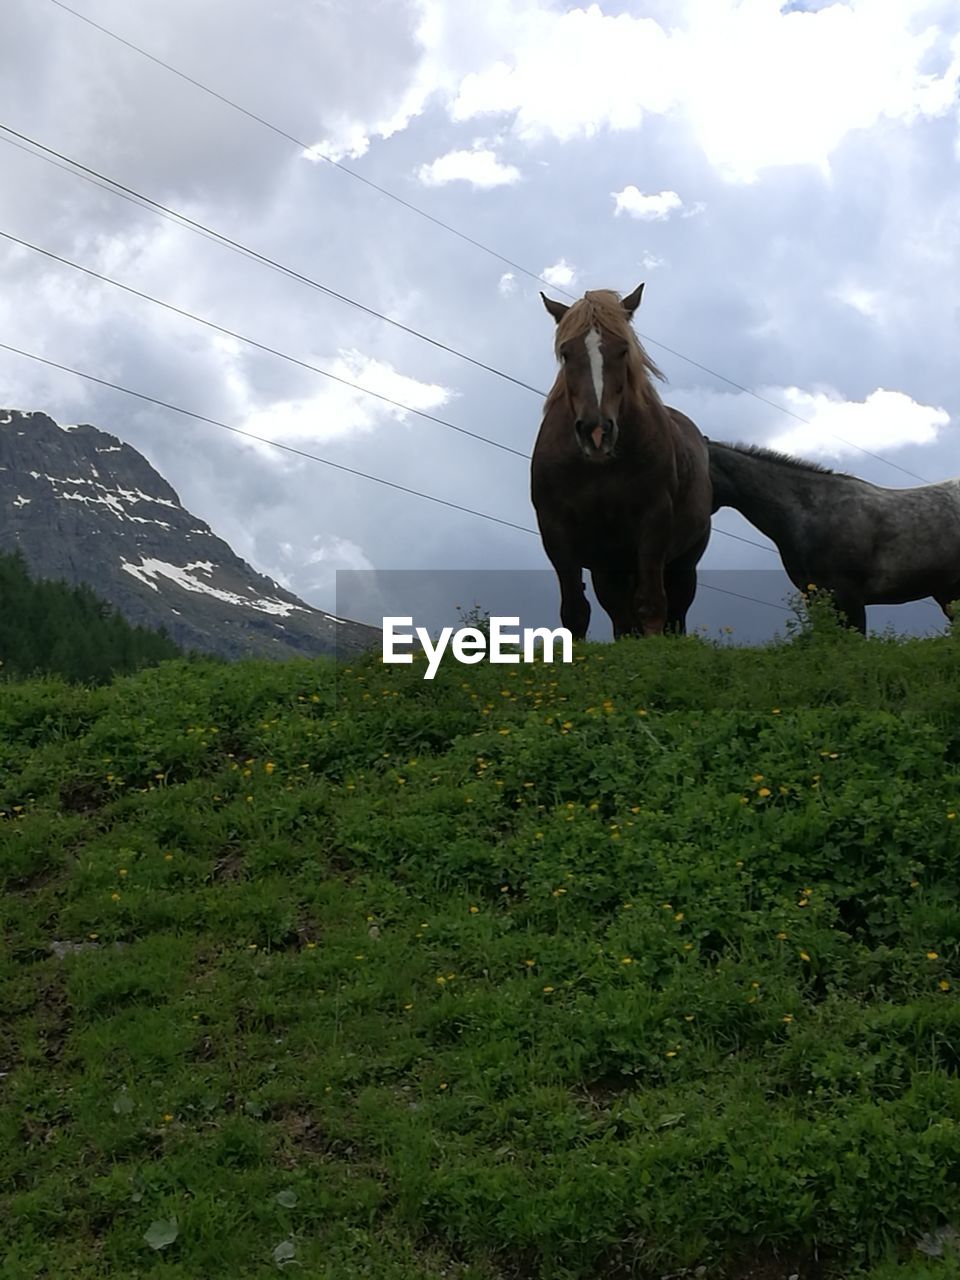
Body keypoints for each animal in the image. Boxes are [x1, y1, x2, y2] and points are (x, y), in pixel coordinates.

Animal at [535, 285, 716, 634]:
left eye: (622, 350)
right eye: (566, 352)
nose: (596, 432)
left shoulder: (654, 521)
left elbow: (652, 606)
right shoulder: (554, 529)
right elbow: (575, 611)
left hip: (681, 565)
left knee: (673, 613)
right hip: (610, 568)